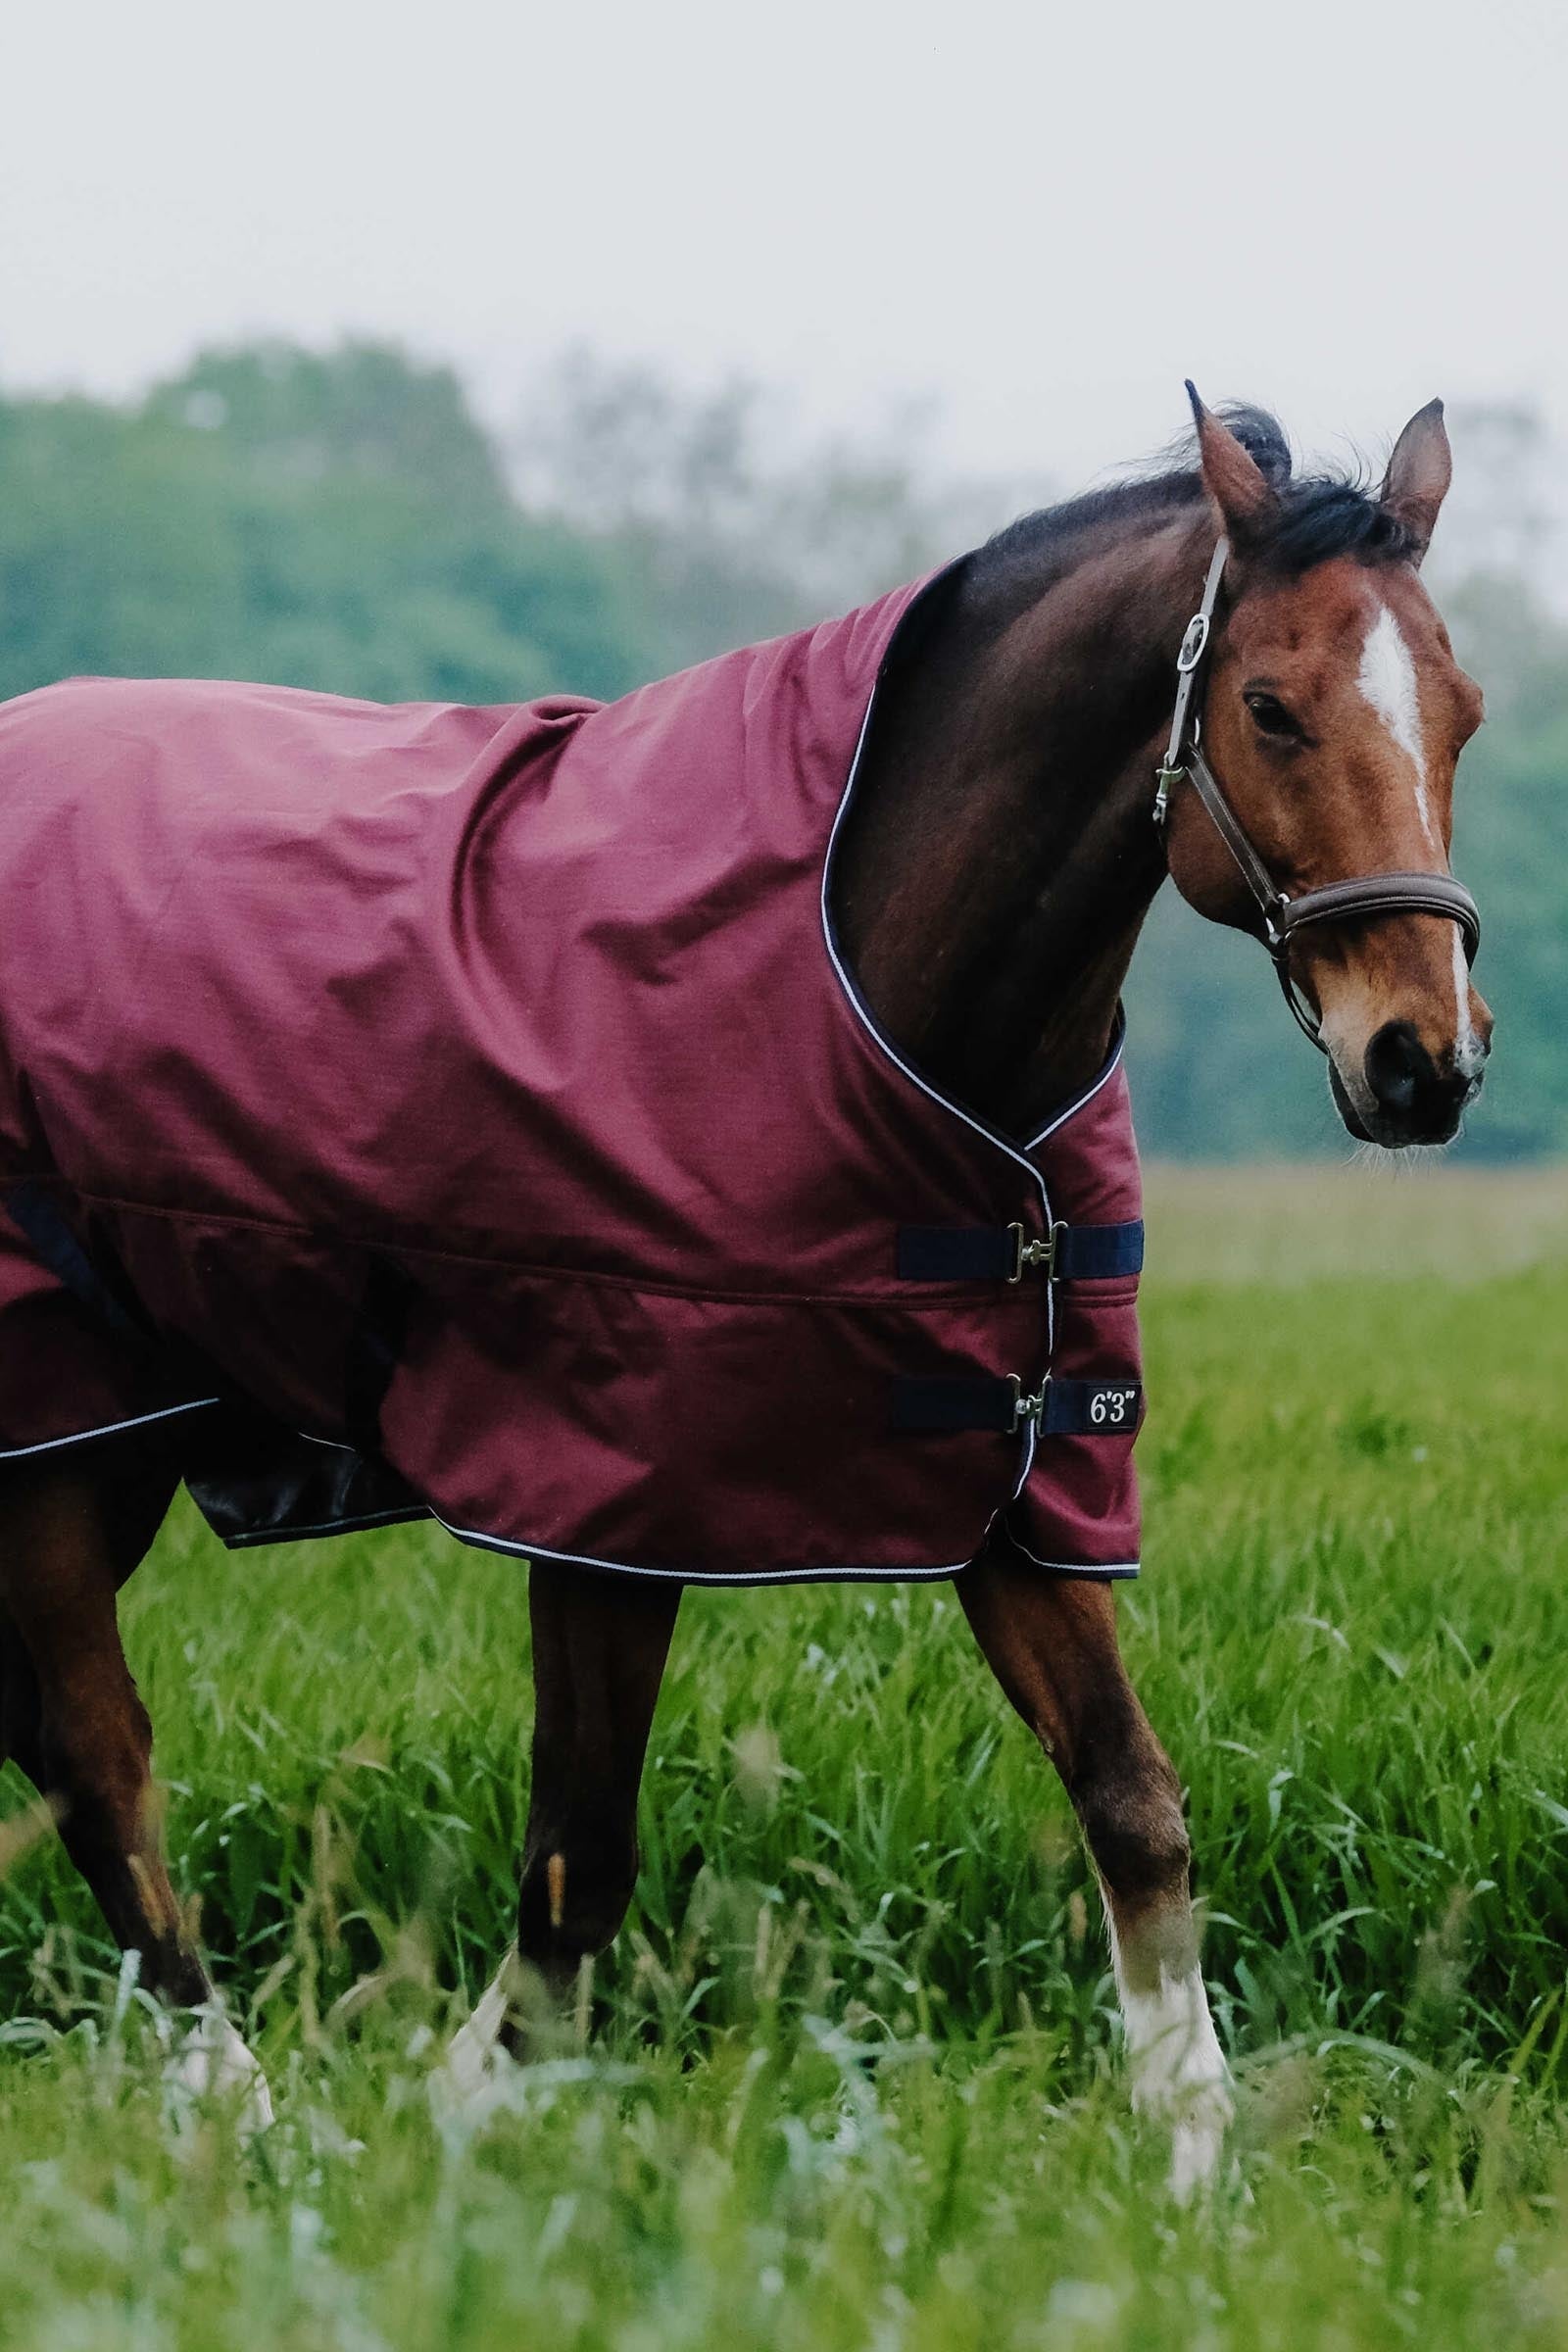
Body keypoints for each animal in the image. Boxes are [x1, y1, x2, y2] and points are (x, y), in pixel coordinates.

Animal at [0, 389, 1489, 2196]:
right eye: (1268, 706)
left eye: (1466, 712)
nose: (1423, 1062)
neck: (880, 998)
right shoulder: (606, 1493)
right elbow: (579, 1857)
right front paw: (457, 2120)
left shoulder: (1010, 1470)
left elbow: (1132, 1797)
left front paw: (1192, 2161)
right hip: (55, 1439)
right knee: (99, 1755)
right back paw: (233, 2100)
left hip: (116, 1442)